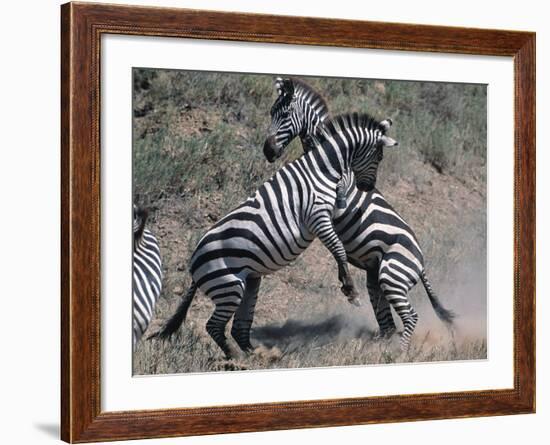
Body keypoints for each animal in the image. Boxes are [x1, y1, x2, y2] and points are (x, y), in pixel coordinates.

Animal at [153, 112, 398, 358]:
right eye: (379, 157)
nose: (368, 187)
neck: (321, 169)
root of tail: (193, 264)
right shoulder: (317, 216)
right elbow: (338, 249)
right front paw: (350, 290)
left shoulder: (328, 212)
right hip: (229, 286)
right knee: (213, 326)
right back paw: (236, 358)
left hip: (248, 281)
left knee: (238, 326)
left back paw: (254, 354)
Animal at [264, 78, 458, 348]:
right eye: (271, 112)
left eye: (285, 115)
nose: (268, 151)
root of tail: (421, 263)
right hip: (377, 278)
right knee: (387, 322)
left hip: (392, 275)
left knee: (409, 316)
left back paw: (397, 352)